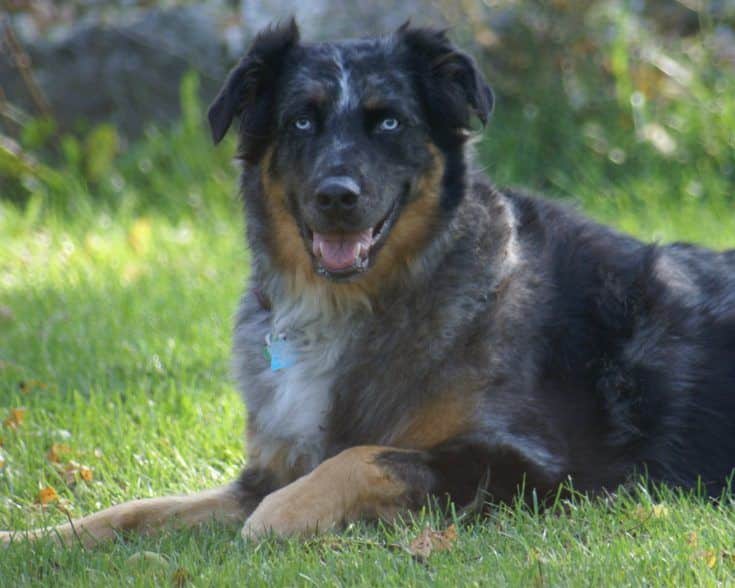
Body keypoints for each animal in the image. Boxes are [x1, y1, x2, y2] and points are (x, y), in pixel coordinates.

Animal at [1, 19, 735, 548]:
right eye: (300, 120)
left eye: (388, 121)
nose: (336, 197)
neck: (354, 303)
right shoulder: (262, 468)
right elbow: (132, 511)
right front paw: (36, 537)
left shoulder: (545, 469)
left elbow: (365, 456)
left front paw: (281, 518)